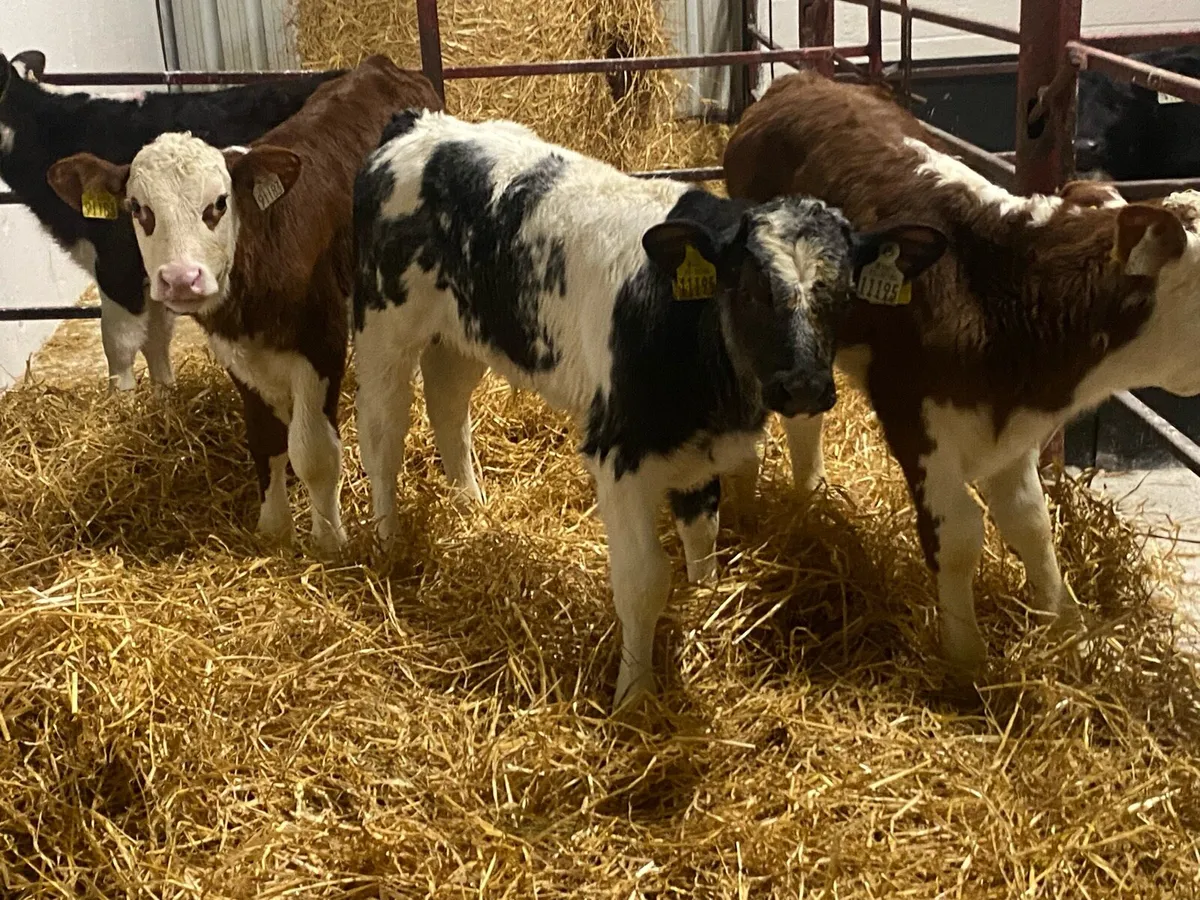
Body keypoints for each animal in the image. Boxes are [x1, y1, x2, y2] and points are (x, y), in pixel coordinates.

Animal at [46, 57, 442, 555]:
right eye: (137, 208)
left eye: (218, 203)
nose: (181, 278)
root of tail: (379, 65)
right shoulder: (237, 354)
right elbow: (266, 440)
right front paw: (274, 528)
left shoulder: (322, 343)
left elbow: (313, 450)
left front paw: (329, 540)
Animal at [351, 109, 946, 708]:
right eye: (750, 290)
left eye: (845, 294)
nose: (802, 386)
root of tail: (416, 126)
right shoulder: (620, 452)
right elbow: (643, 583)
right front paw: (632, 699)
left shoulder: (700, 450)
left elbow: (702, 538)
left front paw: (704, 616)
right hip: (383, 329)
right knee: (381, 436)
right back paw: (388, 545)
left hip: (465, 334)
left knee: (449, 406)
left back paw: (471, 507)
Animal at [722, 69, 1200, 690]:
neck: (1007, 296)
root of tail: (802, 80)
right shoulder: (915, 416)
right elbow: (960, 534)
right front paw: (967, 661)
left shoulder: (1012, 428)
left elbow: (1030, 522)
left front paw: (1071, 628)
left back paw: (814, 495)